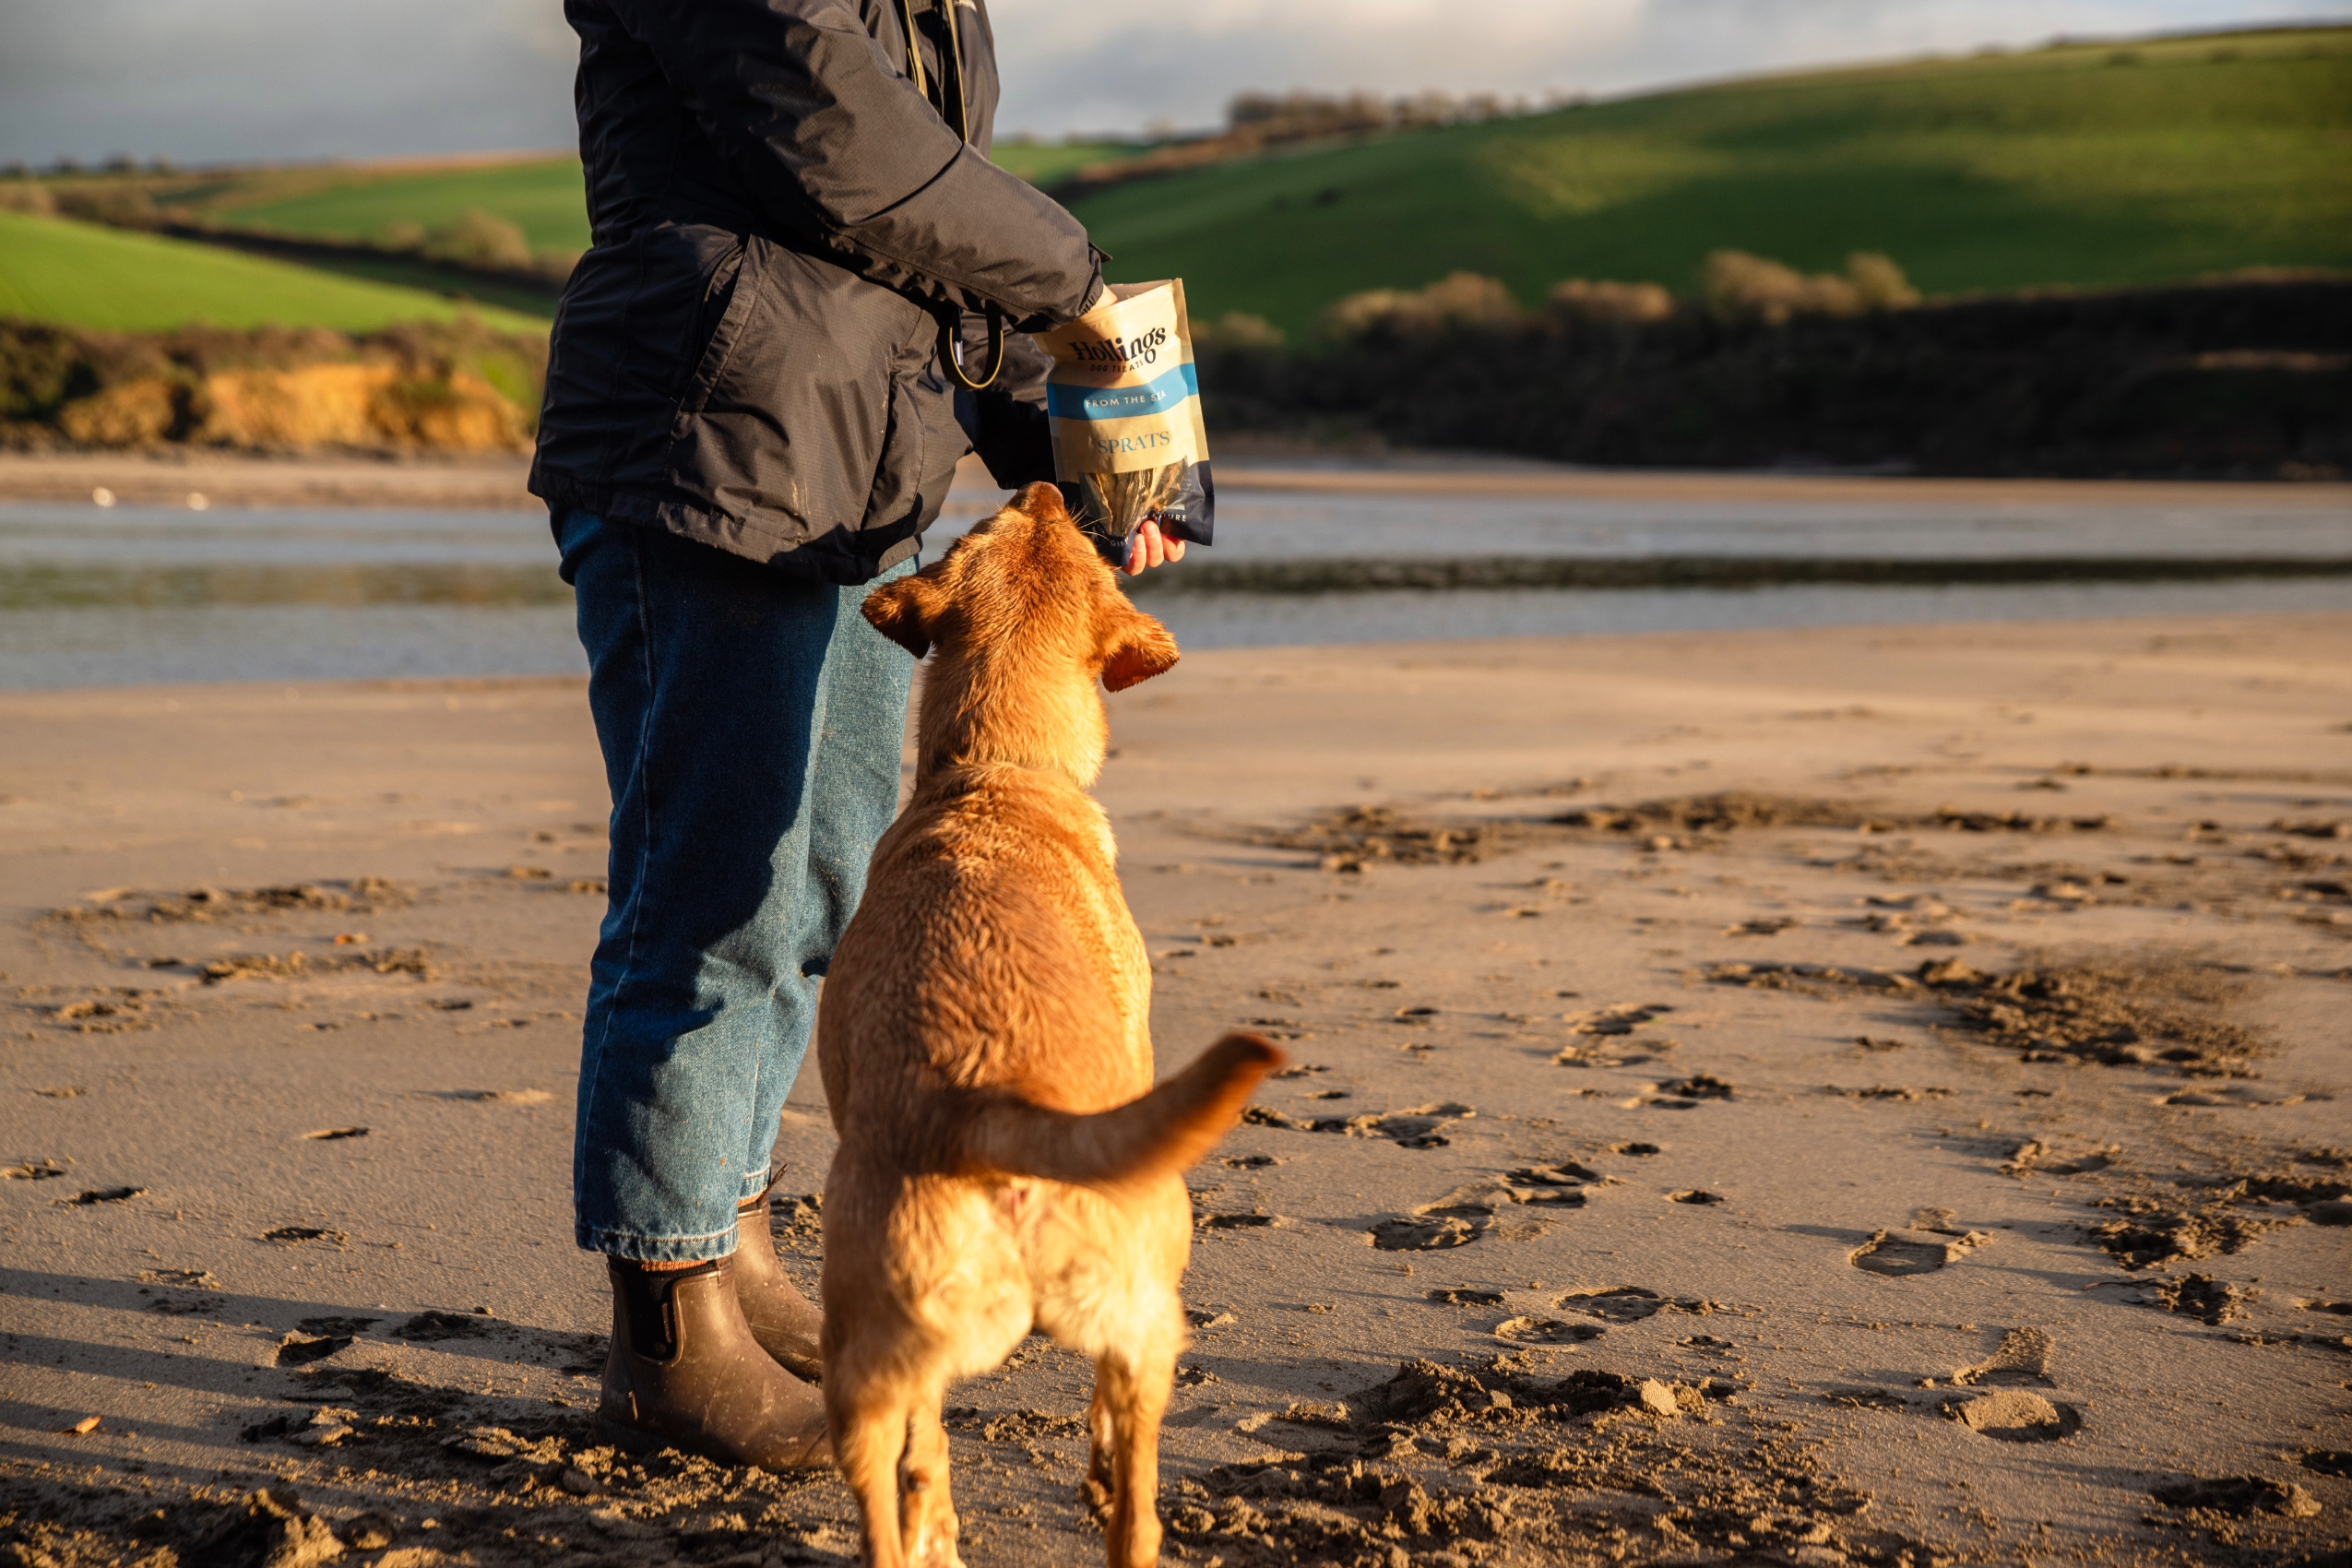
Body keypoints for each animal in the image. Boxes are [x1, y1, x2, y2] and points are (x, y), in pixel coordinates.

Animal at [818, 484, 1279, 1561]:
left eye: (972, 530)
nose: (1043, 487)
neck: (999, 768)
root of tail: (990, 1102)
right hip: (1145, 1306)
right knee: (1124, 1495)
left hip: (877, 1349)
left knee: (904, 1469)